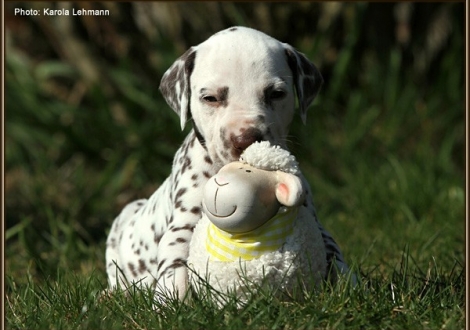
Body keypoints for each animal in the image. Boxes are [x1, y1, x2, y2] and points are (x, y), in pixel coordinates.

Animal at [104, 25, 350, 302]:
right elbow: (174, 269)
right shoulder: (182, 228)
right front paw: (171, 302)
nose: (245, 138)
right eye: (210, 98)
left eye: (276, 94)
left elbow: (336, 259)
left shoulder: (315, 223)